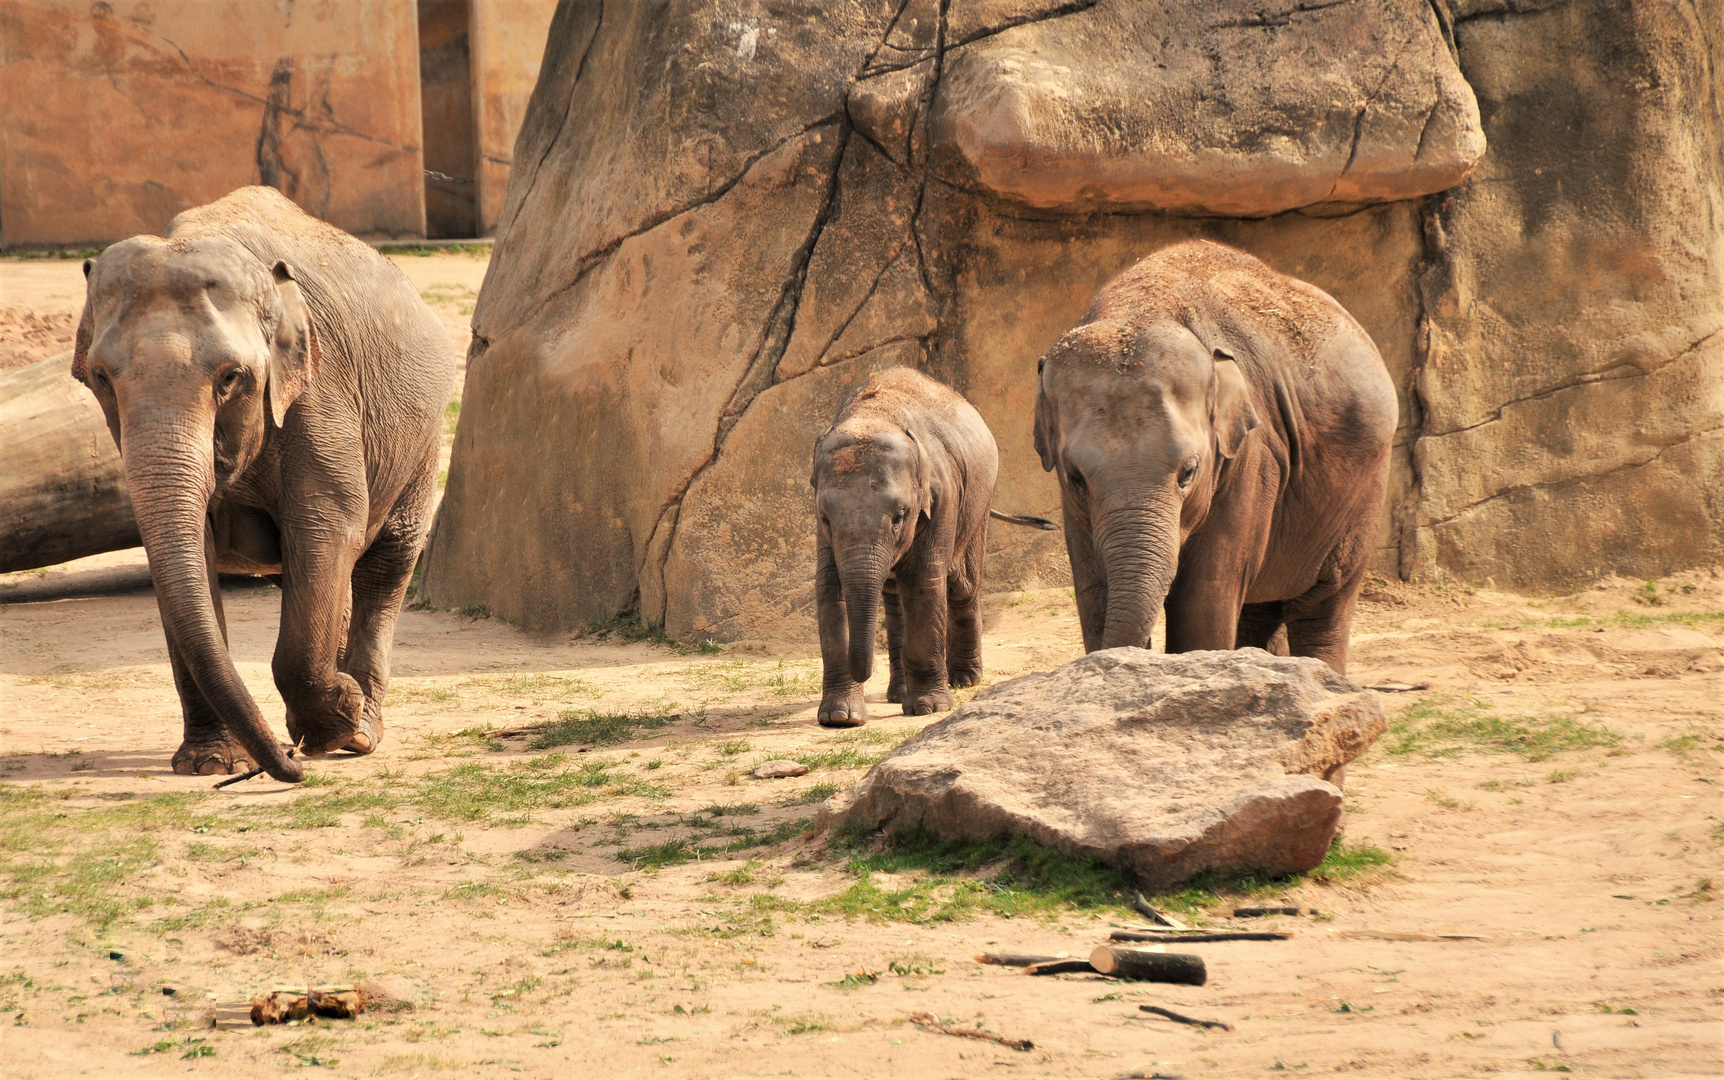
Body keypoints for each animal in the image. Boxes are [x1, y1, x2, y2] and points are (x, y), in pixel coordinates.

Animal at [73, 182, 455, 772]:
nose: (288, 767)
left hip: (422, 435)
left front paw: (334, 727)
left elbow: (326, 530)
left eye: (231, 377)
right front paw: (212, 765)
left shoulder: (318, 396)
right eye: (100, 377)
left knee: (388, 557)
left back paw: (358, 732)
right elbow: (186, 558)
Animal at [813, 365, 1006, 728]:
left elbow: (922, 581)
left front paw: (929, 708)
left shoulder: (942, 495)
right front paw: (840, 717)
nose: (864, 673)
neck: (874, 415)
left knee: (963, 586)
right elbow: (831, 588)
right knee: (894, 601)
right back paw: (900, 693)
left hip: (979, 504)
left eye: (899, 517)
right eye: (826, 519)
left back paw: (965, 679)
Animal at [1027, 241, 1392, 672]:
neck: (1140, 308)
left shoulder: (1255, 452)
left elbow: (1203, 596)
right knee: (1263, 608)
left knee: (1325, 604)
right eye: (1075, 477)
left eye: (1189, 472)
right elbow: (1092, 587)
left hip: (1366, 487)